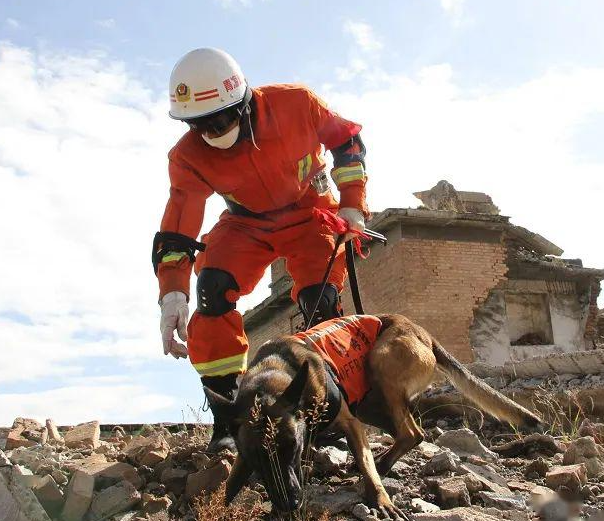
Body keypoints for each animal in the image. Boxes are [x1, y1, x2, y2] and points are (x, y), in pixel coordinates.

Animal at [204, 312, 544, 516]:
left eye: (293, 448)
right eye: (257, 458)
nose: (289, 503)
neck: (276, 373)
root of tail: (423, 334)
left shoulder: (350, 423)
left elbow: (365, 465)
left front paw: (380, 499)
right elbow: (230, 484)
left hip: (380, 369)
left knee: (412, 432)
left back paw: (382, 464)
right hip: (372, 403)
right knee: (410, 434)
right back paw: (385, 460)